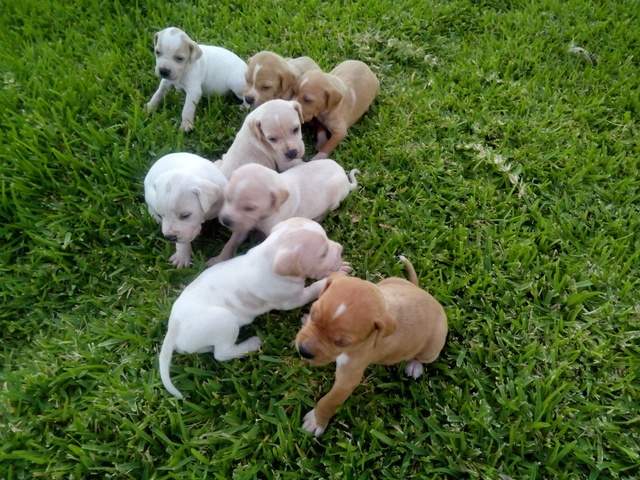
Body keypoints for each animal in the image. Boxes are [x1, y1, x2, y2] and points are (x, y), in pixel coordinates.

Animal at [159, 217, 351, 399]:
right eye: (323, 254)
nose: (341, 250)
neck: (268, 258)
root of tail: (173, 329)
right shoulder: (291, 299)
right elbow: (312, 289)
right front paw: (332, 278)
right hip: (225, 322)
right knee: (221, 354)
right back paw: (250, 344)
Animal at [209, 160, 359, 265]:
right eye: (227, 197)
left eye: (250, 208)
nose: (225, 221)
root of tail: (345, 178)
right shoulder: (243, 227)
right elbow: (231, 242)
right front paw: (218, 260)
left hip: (335, 199)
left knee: (330, 208)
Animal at [295, 256, 448, 436]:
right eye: (313, 313)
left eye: (342, 342)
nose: (303, 351)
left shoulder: (348, 378)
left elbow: (330, 400)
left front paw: (316, 421)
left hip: (434, 346)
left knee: (422, 357)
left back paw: (414, 366)